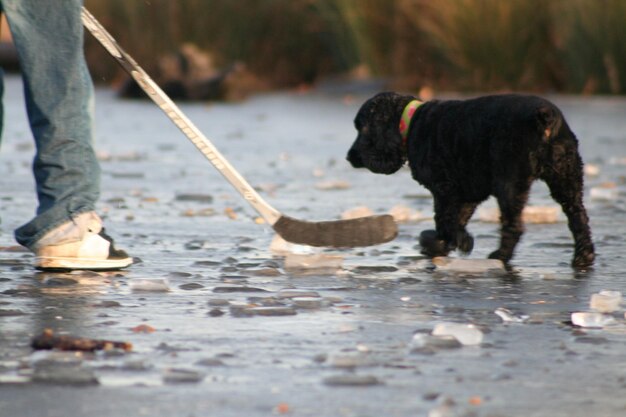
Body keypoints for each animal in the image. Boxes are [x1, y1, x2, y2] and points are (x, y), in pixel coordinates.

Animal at [346, 91, 596, 268]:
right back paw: (584, 257)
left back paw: (499, 256)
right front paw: (437, 243)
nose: (350, 156)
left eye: (361, 128)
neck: (412, 122)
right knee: (578, 217)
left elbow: (446, 219)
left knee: (513, 226)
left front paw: (458, 242)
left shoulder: (444, 189)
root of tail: (545, 118)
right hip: (567, 177)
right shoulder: (467, 192)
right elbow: (455, 219)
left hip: (510, 183)